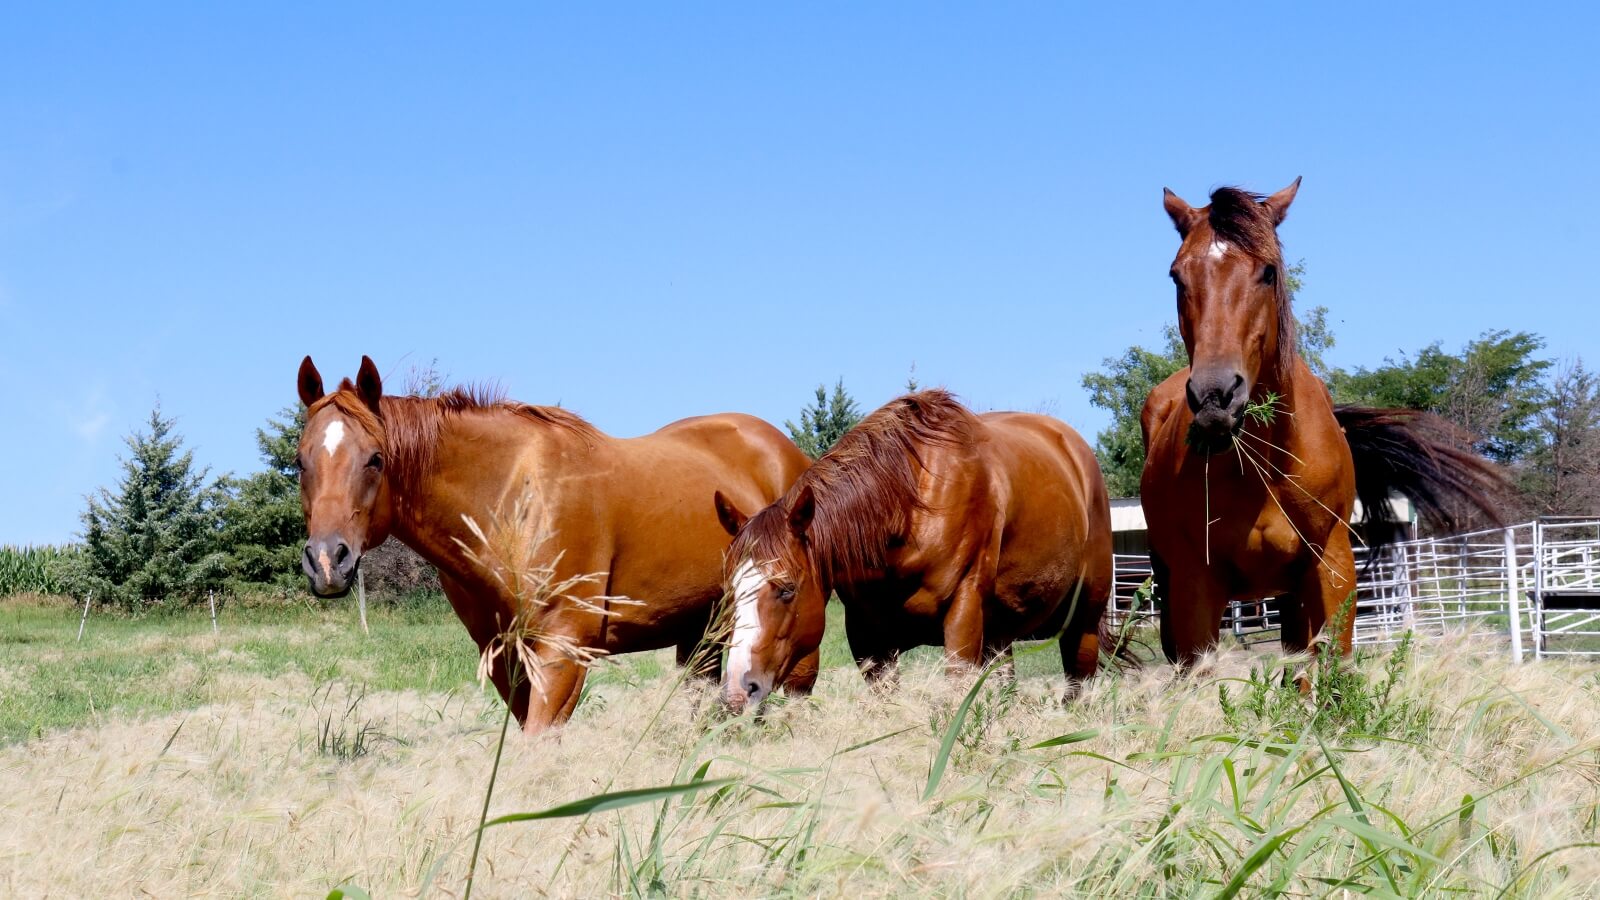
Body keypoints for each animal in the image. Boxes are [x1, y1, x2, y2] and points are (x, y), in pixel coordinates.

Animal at [296, 352, 819, 730]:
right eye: (301, 461)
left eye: (376, 459)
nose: (327, 560)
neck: (513, 498)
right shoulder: (505, 657)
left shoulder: (562, 653)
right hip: (701, 633)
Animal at [713, 389, 1113, 711]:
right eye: (731, 592)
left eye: (787, 589)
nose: (737, 691)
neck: (911, 510)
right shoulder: (869, 639)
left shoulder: (962, 617)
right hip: (1000, 632)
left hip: (1084, 622)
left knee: (1078, 683)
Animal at [1139, 178, 1497, 662]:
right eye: (1177, 275)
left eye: (1268, 272)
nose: (1215, 397)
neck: (1265, 465)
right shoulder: (1196, 586)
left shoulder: (1331, 569)